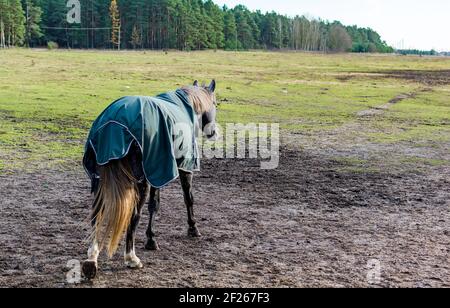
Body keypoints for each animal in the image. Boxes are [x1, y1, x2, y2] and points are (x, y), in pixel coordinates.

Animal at [80, 79, 218, 280]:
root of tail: (113, 123)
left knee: (96, 214)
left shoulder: (159, 171)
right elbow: (188, 198)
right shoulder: (184, 167)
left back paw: (91, 259)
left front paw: (151, 238)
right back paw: (131, 258)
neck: (186, 105)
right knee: (134, 216)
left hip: (99, 180)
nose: (214, 132)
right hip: (140, 182)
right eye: (216, 104)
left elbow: (155, 204)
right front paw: (193, 228)